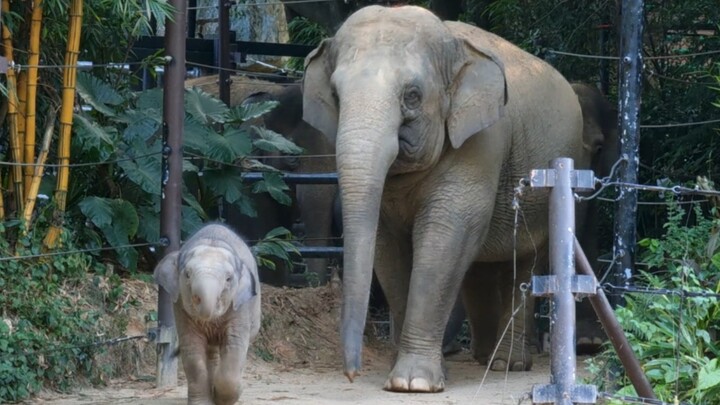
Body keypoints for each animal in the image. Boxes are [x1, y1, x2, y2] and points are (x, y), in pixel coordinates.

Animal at [154, 223, 262, 402]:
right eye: (187, 275)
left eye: (228, 279)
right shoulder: (179, 304)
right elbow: (192, 349)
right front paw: (204, 402)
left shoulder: (240, 307)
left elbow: (235, 343)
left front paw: (225, 397)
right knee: (210, 353)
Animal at [300, 5, 588, 392]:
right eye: (335, 94)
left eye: (412, 95)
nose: (351, 374)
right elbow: (387, 245)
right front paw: (410, 372)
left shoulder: (484, 140)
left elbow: (447, 232)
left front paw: (413, 383)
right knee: (480, 266)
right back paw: (483, 357)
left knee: (525, 264)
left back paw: (507, 364)